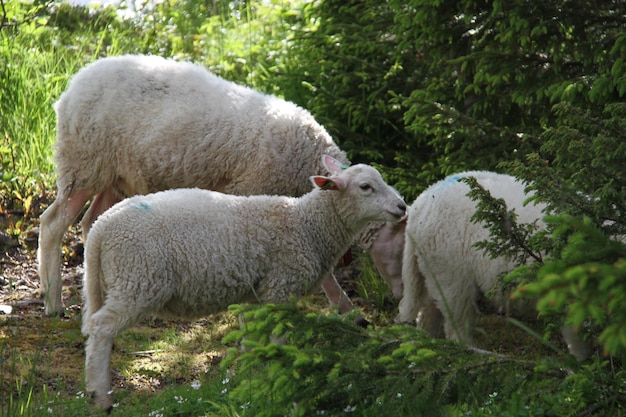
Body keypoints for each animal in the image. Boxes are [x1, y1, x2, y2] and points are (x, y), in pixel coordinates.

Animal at [37, 53, 356, 314]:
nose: (350, 262)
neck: (305, 155)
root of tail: (76, 81)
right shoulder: (256, 193)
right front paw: (344, 306)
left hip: (115, 176)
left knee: (91, 220)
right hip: (84, 162)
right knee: (53, 223)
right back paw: (53, 302)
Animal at [80, 156, 408, 406]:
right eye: (365, 187)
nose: (402, 206)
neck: (307, 224)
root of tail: (100, 229)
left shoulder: (252, 296)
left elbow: (250, 341)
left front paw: (250, 380)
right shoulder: (280, 288)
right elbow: (277, 340)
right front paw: (279, 374)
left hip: (123, 280)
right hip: (137, 279)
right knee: (101, 328)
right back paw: (101, 396)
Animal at [394, 171, 588, 360]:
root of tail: (422, 203)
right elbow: (576, 332)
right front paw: (583, 362)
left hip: (430, 268)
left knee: (428, 314)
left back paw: (428, 347)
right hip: (452, 273)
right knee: (457, 324)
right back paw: (470, 352)